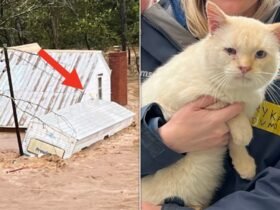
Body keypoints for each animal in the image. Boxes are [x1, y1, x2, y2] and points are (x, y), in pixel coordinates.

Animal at [141, 1, 280, 208]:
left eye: (260, 54)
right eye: (230, 51)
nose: (244, 68)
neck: (240, 91)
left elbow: (234, 142)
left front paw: (244, 163)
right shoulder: (180, 99)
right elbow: (225, 104)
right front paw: (243, 131)